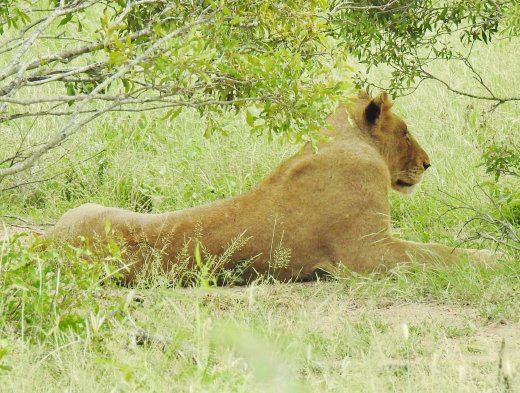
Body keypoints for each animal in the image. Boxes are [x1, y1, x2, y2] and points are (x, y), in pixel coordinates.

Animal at [44, 92, 496, 282]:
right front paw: (493, 257)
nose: (427, 164)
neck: (346, 140)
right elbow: (438, 253)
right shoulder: (368, 254)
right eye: (404, 132)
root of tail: (45, 244)